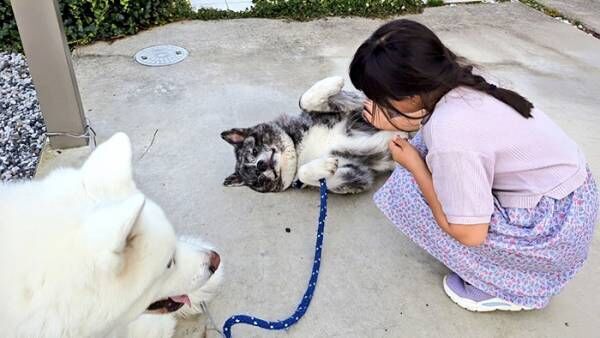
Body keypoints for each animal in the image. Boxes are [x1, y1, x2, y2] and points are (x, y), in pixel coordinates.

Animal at [220, 76, 404, 193]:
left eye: (253, 150)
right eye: (257, 178)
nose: (260, 165)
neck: (298, 151)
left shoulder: (350, 107)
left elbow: (305, 100)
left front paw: (334, 81)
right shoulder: (356, 176)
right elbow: (308, 174)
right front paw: (324, 167)